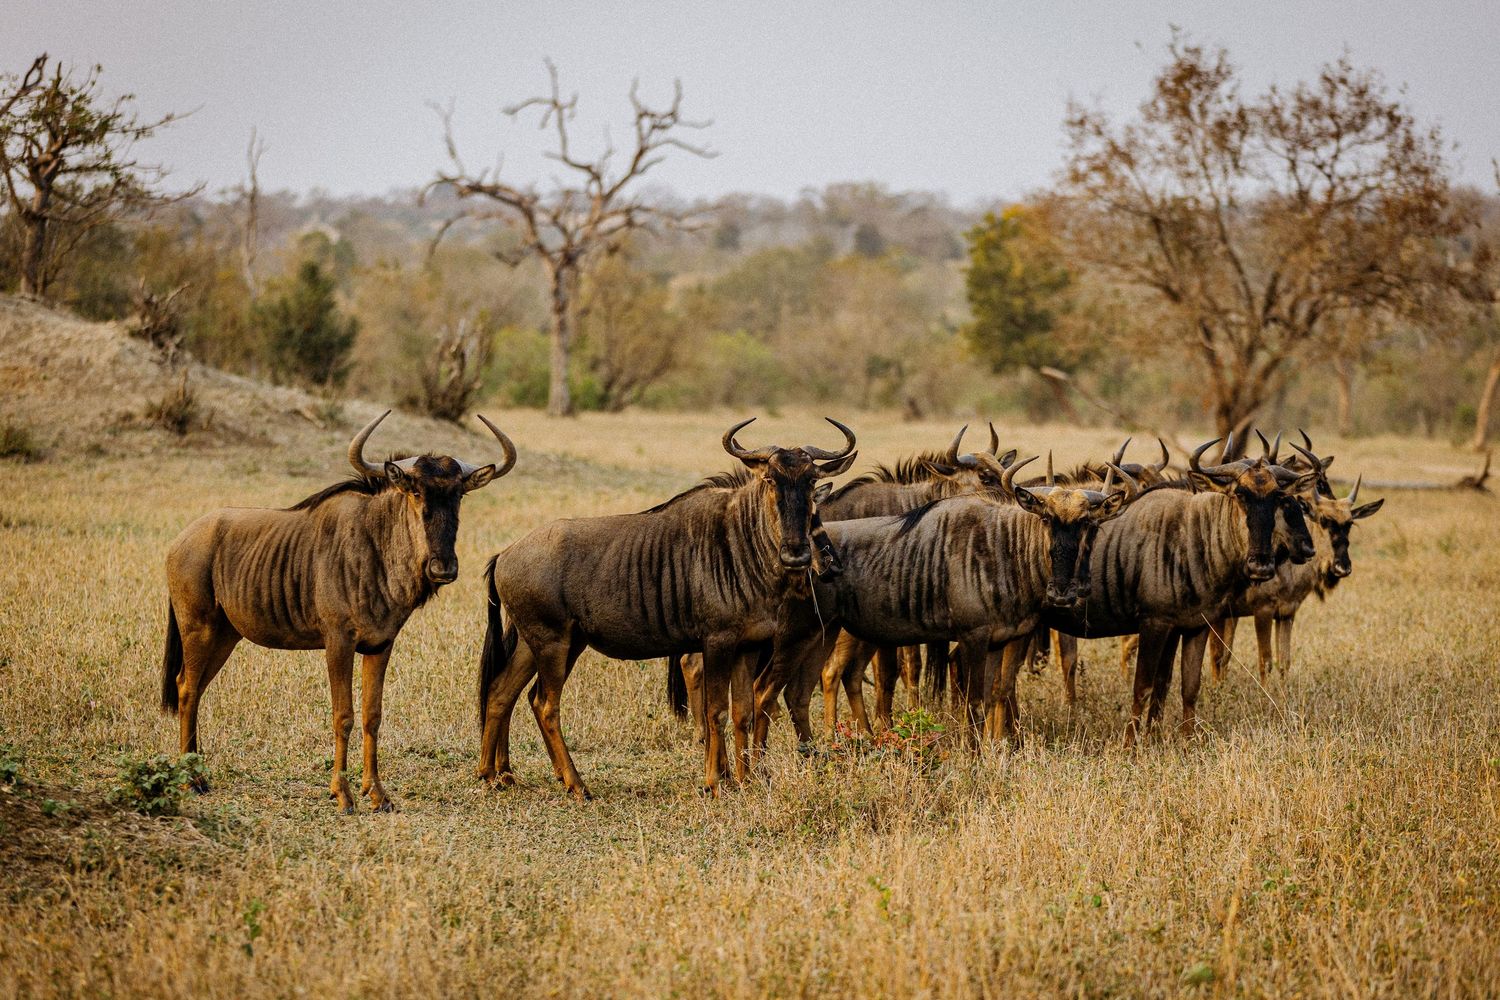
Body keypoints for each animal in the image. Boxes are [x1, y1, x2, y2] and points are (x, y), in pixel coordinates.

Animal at [161, 410, 516, 812]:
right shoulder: (338, 643)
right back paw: (191, 780)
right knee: (187, 688)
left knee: (195, 688)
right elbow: (343, 715)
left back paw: (199, 773)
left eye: (458, 494)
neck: (376, 548)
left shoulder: (380, 645)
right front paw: (342, 793)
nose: (443, 568)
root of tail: (181, 540)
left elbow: (372, 716)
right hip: (198, 628)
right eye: (415, 492)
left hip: (225, 636)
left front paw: (377, 793)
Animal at [477, 419, 856, 799]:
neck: (742, 543)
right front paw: (715, 782)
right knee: (545, 704)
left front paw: (746, 780)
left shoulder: (747, 647)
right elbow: (715, 711)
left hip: (544, 644)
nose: (798, 555)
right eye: (769, 480)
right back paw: (576, 784)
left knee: (502, 693)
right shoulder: (717, 643)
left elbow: (743, 713)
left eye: (811, 481)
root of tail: (505, 555)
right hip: (552, 644)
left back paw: (493, 774)